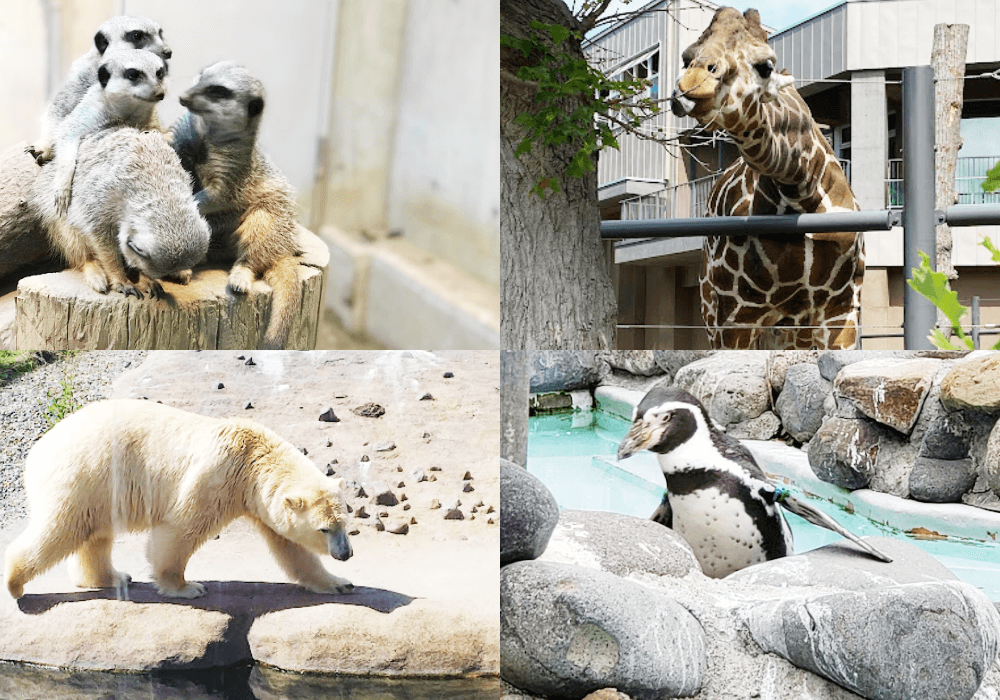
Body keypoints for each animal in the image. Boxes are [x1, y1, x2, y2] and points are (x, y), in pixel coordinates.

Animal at [2, 396, 356, 600]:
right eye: (324, 529)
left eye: (343, 523)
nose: (346, 554)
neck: (250, 459)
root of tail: (37, 452)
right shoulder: (216, 474)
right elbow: (181, 529)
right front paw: (187, 587)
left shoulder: (259, 501)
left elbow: (291, 548)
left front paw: (339, 583)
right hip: (84, 475)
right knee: (60, 530)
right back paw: (14, 583)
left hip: (98, 490)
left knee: (94, 535)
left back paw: (112, 576)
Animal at [676, 6, 864, 348]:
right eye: (687, 58)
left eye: (765, 66)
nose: (694, 84)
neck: (800, 188)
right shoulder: (735, 312)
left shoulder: (840, 308)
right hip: (712, 308)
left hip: (791, 325)